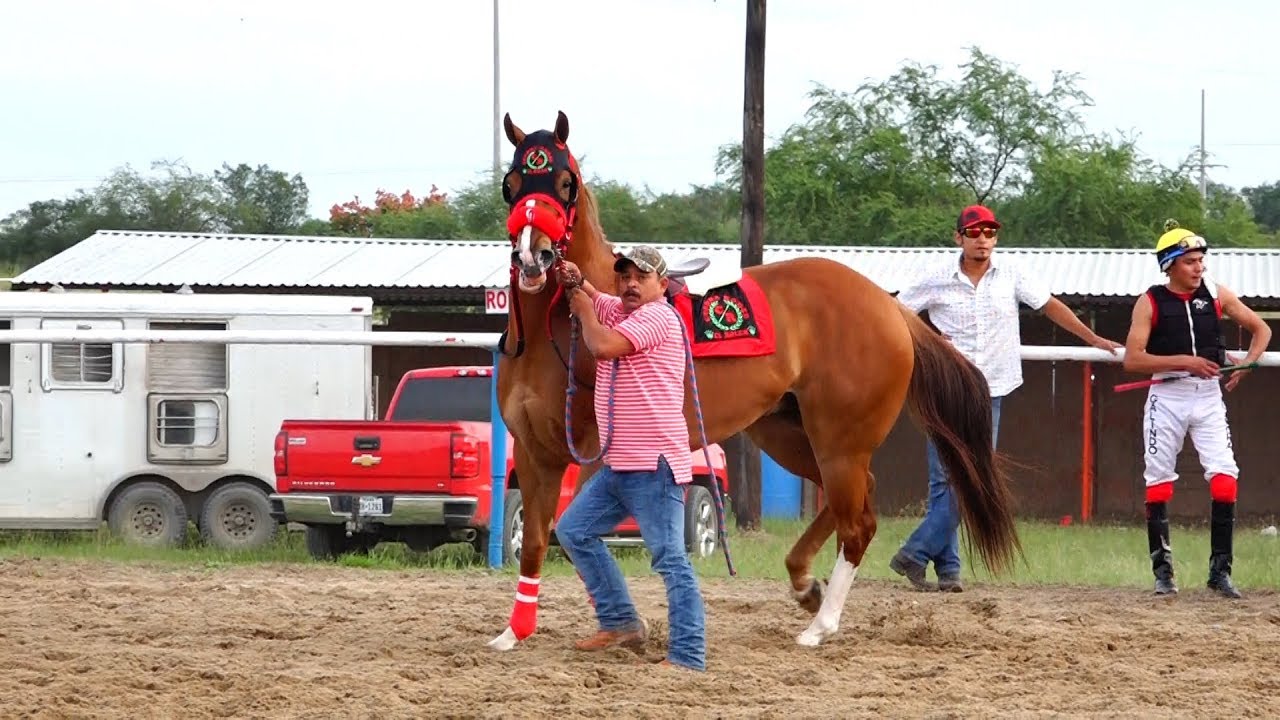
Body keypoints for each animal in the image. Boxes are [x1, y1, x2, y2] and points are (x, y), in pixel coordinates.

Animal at [486, 110, 1021, 651]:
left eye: (565, 182)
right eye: (511, 183)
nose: (534, 255)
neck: (560, 328)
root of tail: (890, 307)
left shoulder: (596, 455)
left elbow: (578, 540)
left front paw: (625, 627)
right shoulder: (533, 451)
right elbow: (535, 542)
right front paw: (514, 632)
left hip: (839, 443)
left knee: (858, 524)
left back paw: (819, 625)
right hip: (787, 434)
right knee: (854, 502)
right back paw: (806, 585)